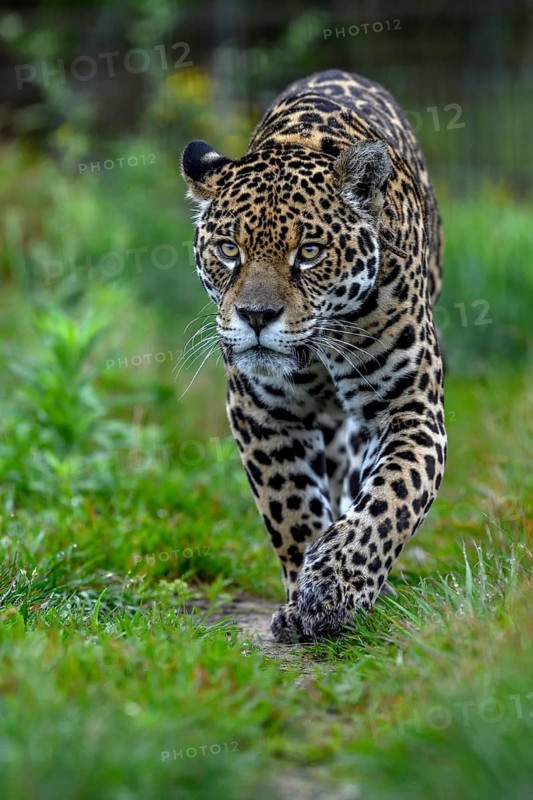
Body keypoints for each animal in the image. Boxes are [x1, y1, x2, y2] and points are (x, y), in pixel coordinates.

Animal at [180, 69, 446, 642]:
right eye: (229, 250)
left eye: (309, 253)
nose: (256, 316)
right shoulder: (262, 413)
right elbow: (291, 508)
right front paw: (303, 596)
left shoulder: (410, 409)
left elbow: (391, 500)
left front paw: (333, 589)